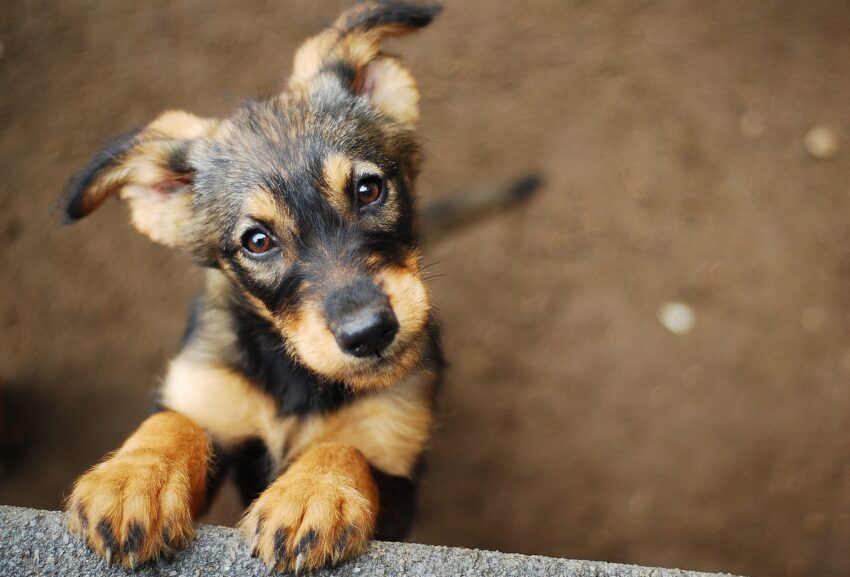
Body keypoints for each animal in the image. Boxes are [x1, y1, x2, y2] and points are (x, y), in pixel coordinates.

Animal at [59, 2, 536, 572]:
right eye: (258, 241)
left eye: (369, 189)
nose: (369, 333)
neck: (299, 379)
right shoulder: (209, 394)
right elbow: (175, 423)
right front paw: (134, 479)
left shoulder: (396, 469)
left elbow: (344, 448)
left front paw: (312, 494)